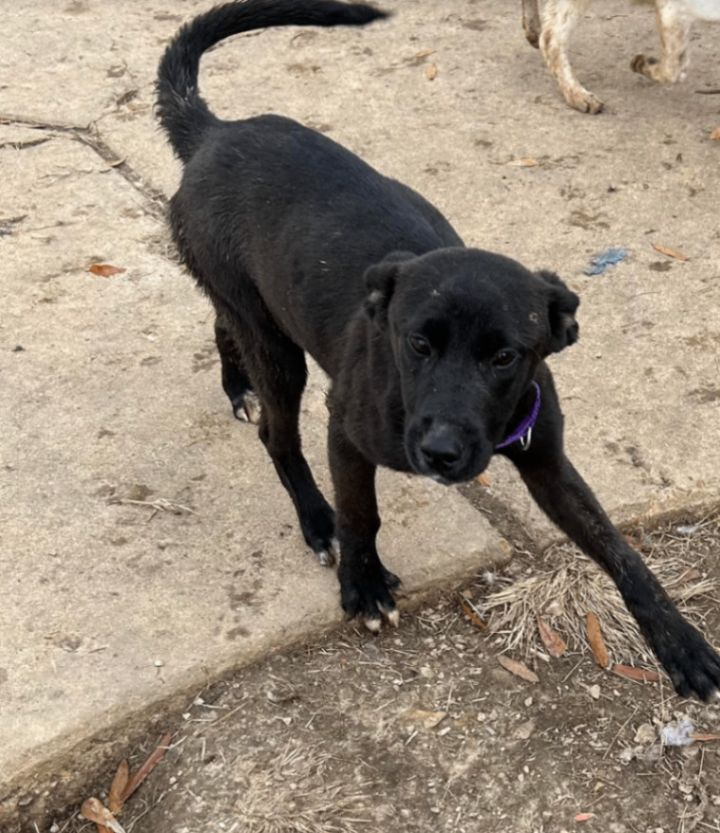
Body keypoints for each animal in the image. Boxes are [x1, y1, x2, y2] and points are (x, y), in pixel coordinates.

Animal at [524, 0, 720, 114]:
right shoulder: (674, 8)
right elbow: (673, 69)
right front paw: (641, 63)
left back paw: (532, 29)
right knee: (550, 39)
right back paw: (578, 95)